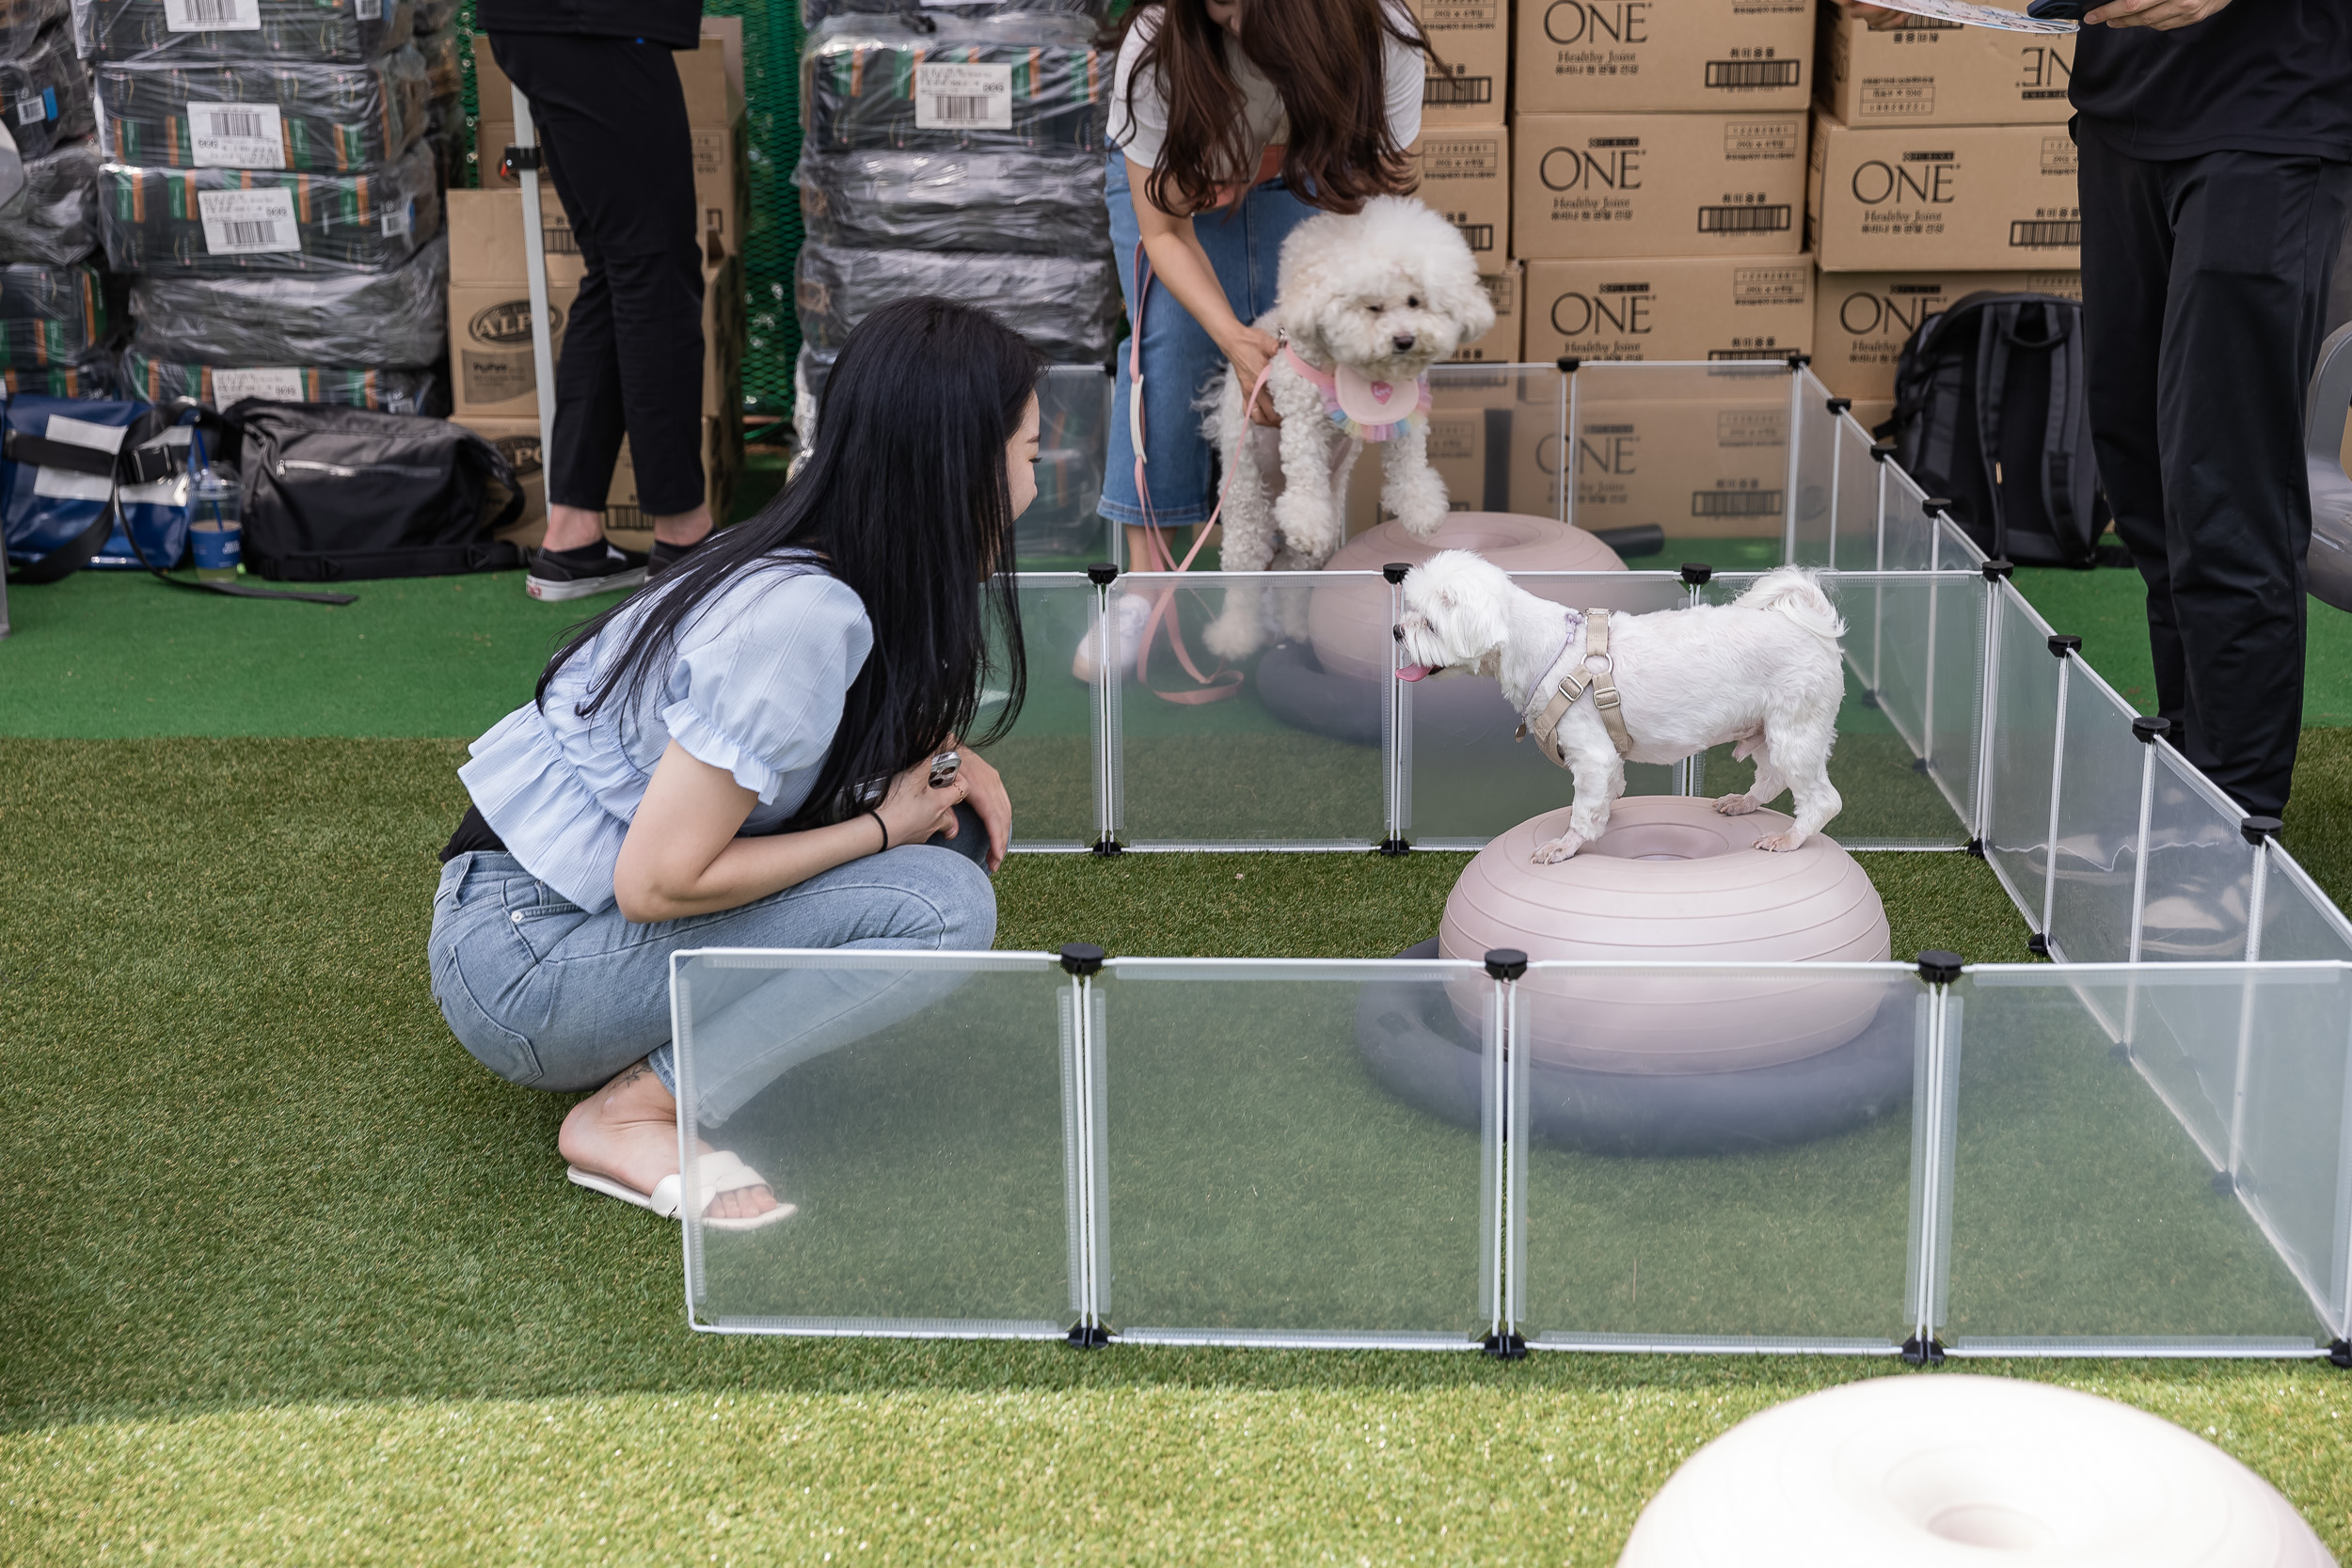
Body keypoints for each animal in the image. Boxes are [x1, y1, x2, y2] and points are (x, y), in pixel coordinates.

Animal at [1204, 197, 1496, 662]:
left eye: (1415, 301)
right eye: (1372, 307)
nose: (1404, 340)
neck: (1359, 370)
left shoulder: (1406, 411)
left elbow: (1410, 462)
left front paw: (1421, 510)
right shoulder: (1301, 417)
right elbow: (1305, 471)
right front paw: (1305, 518)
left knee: (1292, 571)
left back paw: (1295, 628)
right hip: (1245, 493)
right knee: (1244, 574)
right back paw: (1235, 636)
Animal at [1383, 554, 1844, 860]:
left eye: (1429, 624)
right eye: (1410, 610)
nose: (1396, 631)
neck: (1546, 649)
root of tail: (1814, 628)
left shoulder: (1591, 752)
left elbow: (1585, 808)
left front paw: (1566, 845)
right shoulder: (1606, 753)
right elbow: (1610, 789)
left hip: (1795, 731)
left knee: (1823, 801)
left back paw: (1790, 838)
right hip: (1767, 731)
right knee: (1772, 778)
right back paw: (1743, 803)